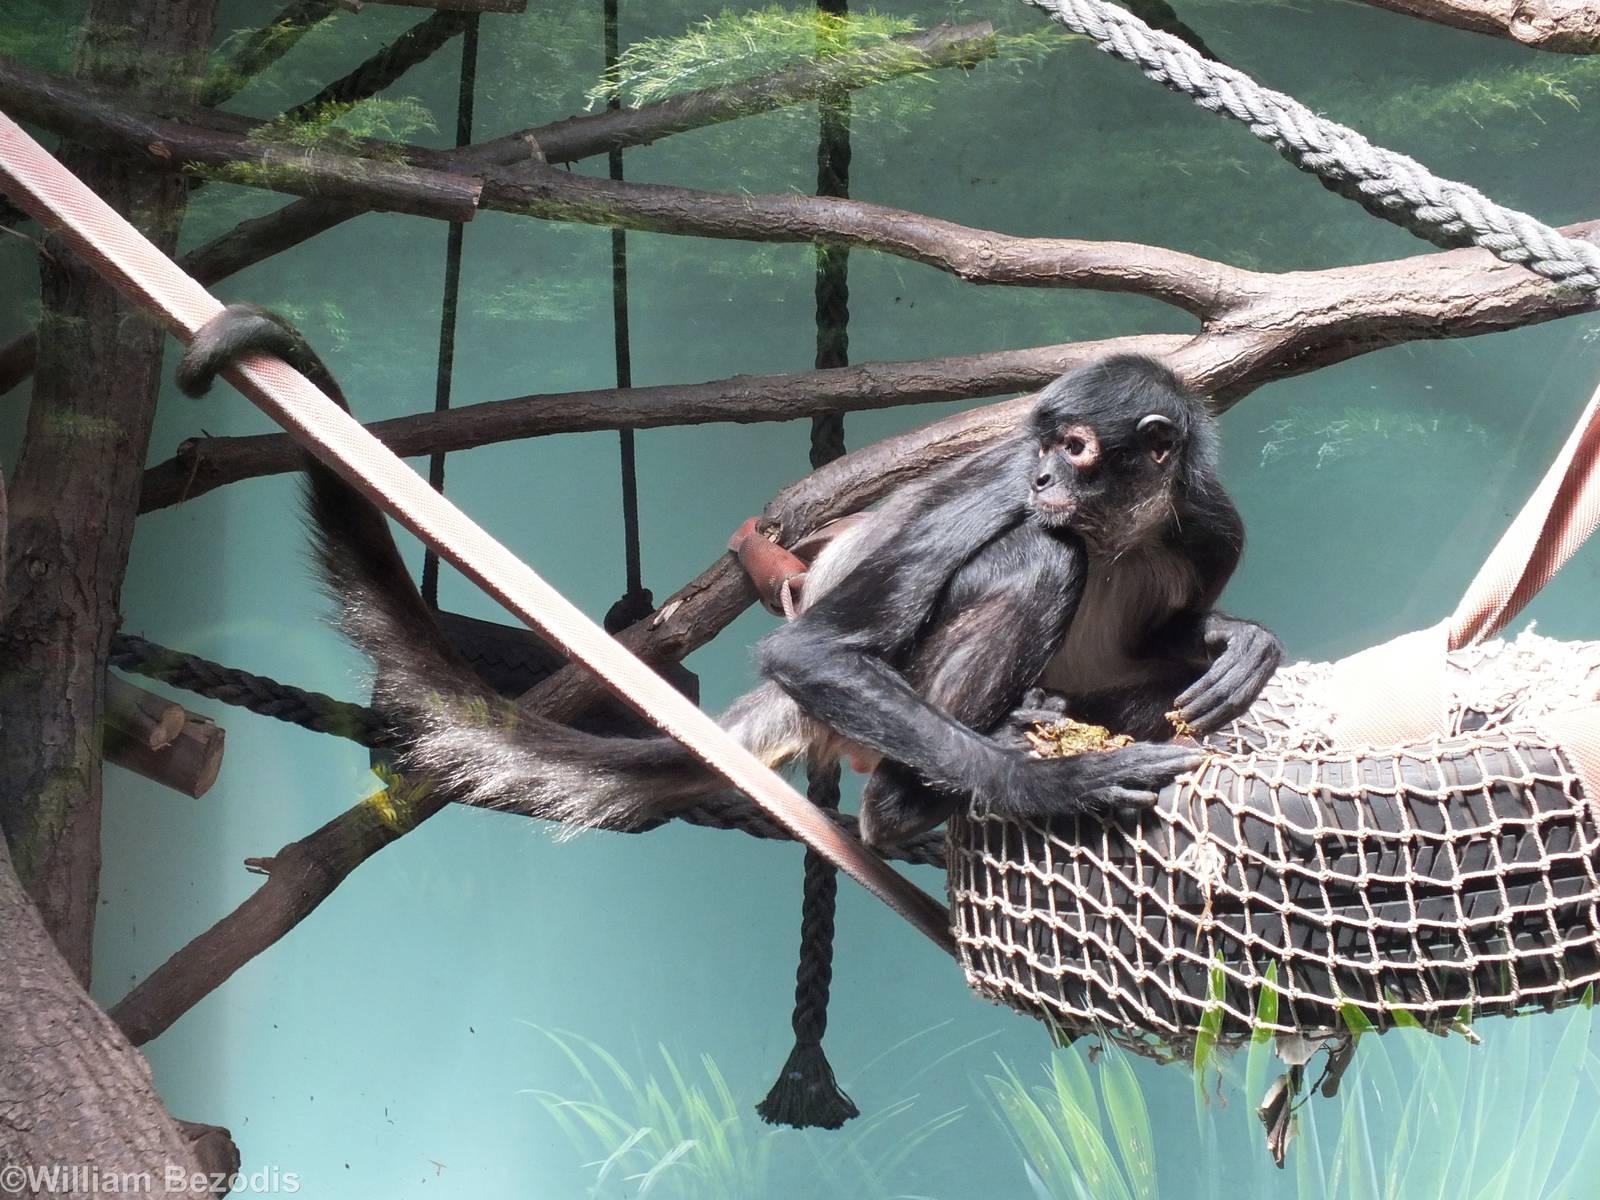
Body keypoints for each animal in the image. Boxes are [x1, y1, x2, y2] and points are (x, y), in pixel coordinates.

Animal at [177, 306, 1281, 849]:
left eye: (1081, 448)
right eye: (1047, 444)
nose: (1049, 477)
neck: (1120, 529)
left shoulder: (1210, 521)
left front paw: (1236, 642)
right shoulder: (1002, 479)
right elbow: (814, 649)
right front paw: (1042, 787)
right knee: (1036, 555)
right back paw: (912, 805)